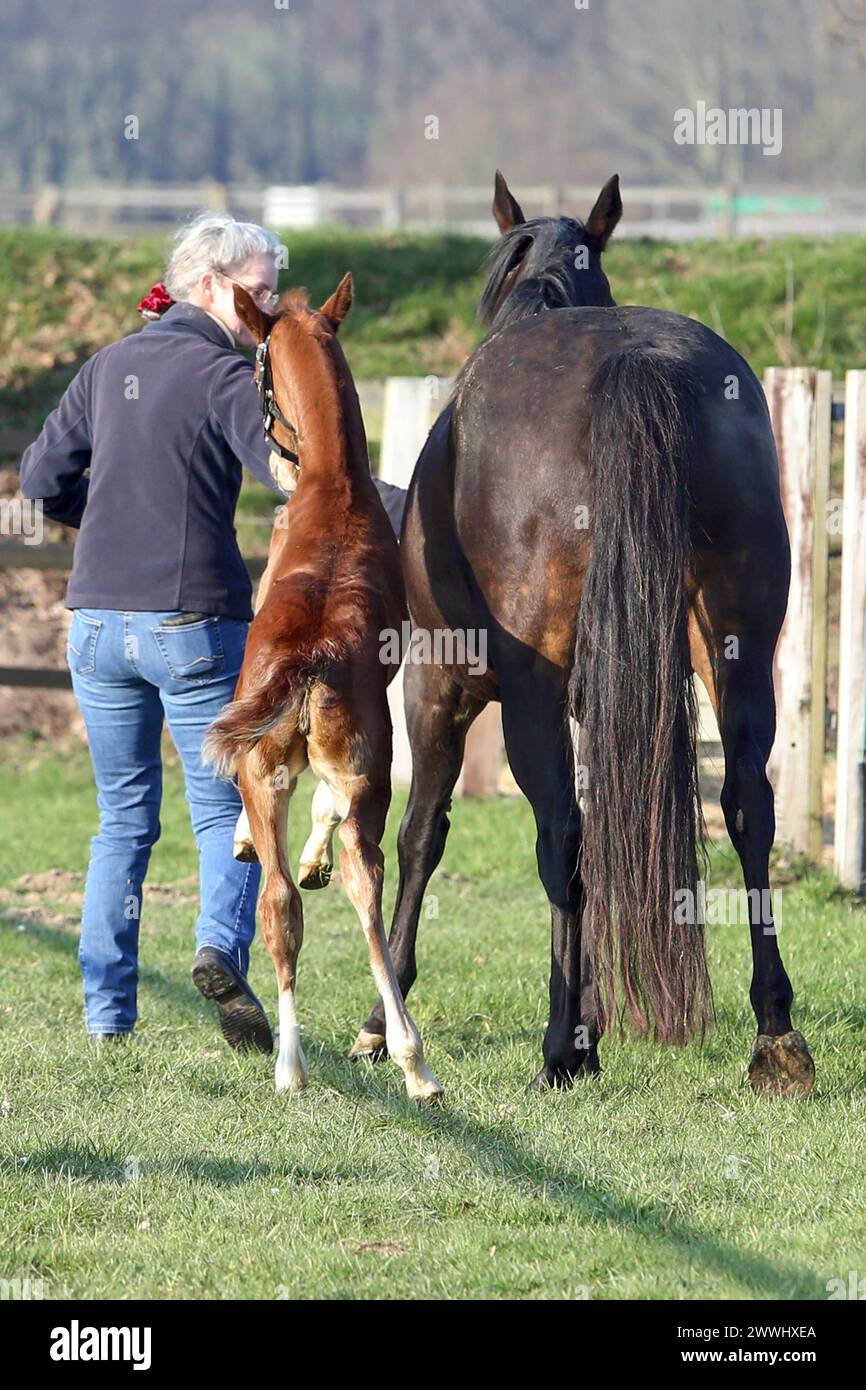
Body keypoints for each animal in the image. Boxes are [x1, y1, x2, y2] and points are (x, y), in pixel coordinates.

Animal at [203, 275, 443, 1102]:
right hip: (370, 771)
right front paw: (311, 859)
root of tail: (313, 657)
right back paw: (412, 1064)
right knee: (366, 882)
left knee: (285, 901)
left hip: (271, 767)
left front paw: (258, 845)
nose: (279, 459)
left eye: (258, 367)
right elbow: (328, 811)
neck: (334, 487)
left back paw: (295, 1063)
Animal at [347, 172, 815, 1098]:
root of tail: (638, 363)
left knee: (559, 831)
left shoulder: (439, 689)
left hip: (525, 694)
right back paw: (774, 1034)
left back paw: (559, 1047)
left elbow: (422, 834)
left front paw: (388, 1021)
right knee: (748, 805)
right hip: (738, 651)